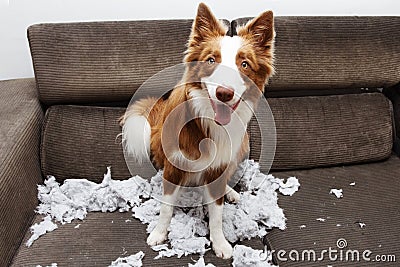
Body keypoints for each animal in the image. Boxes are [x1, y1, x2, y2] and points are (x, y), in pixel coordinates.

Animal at [119, 3, 276, 260]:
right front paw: (159, 234)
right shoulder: (173, 166)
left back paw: (230, 192)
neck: (209, 123)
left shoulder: (218, 168)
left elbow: (217, 214)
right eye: (211, 60)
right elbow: (166, 208)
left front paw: (220, 243)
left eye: (244, 65)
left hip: (242, 146)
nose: (224, 93)